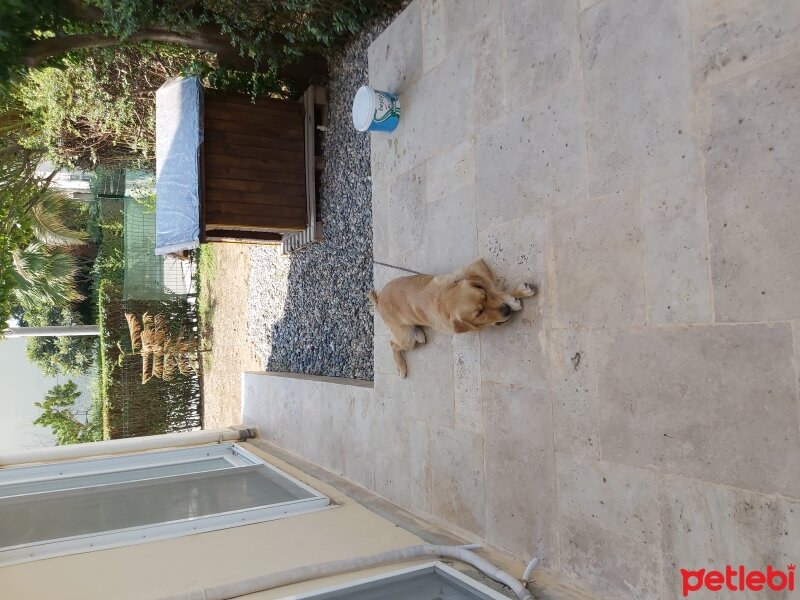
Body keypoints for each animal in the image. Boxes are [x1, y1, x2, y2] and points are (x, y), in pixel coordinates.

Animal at [370, 258, 536, 380]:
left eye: (485, 296)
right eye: (479, 314)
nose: (506, 310)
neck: (443, 297)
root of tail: (379, 300)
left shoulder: (472, 269)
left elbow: (492, 287)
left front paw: (514, 296)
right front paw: (511, 300)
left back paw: (419, 334)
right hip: (405, 338)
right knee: (393, 344)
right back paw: (401, 366)